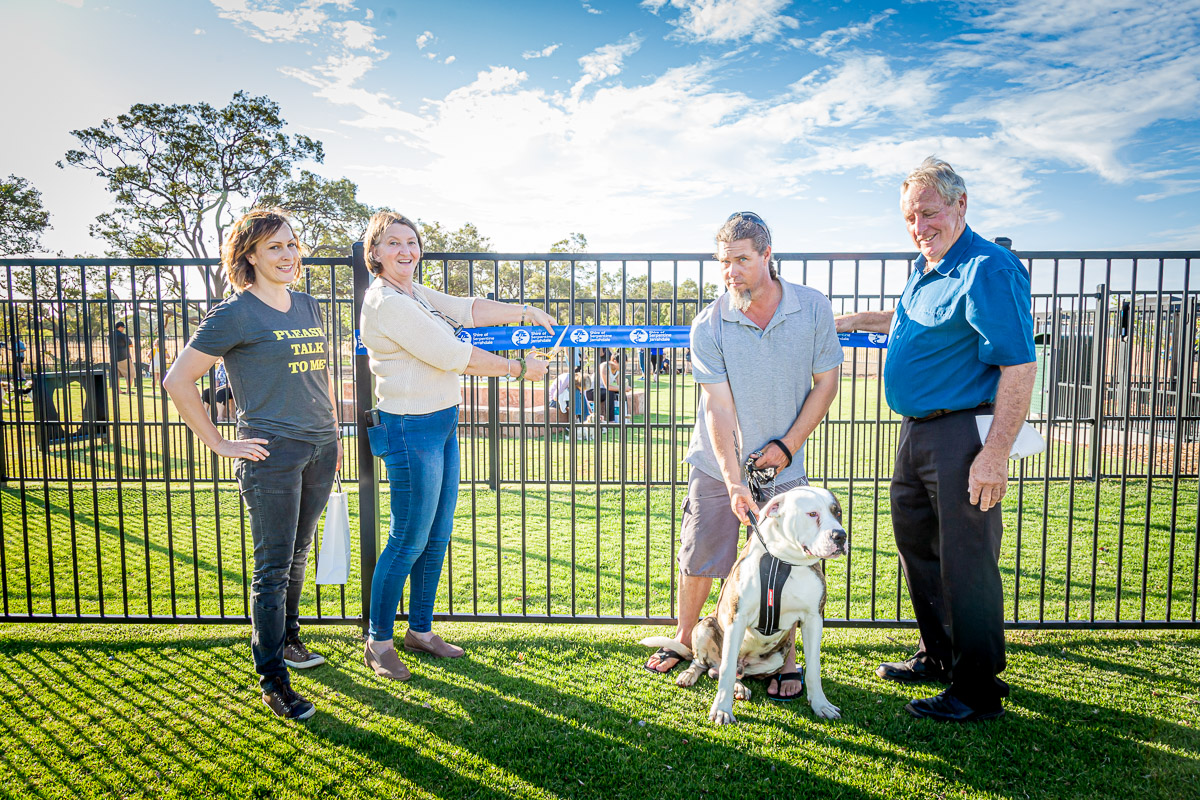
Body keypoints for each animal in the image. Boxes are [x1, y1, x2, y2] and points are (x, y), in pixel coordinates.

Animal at [643, 489, 849, 724]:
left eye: (838, 512)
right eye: (812, 513)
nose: (840, 536)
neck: (783, 561)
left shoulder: (814, 619)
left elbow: (814, 667)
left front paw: (821, 705)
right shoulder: (737, 619)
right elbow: (727, 669)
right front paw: (722, 710)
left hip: (777, 656)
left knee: (727, 671)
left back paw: (739, 687)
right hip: (705, 627)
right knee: (708, 664)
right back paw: (691, 675)